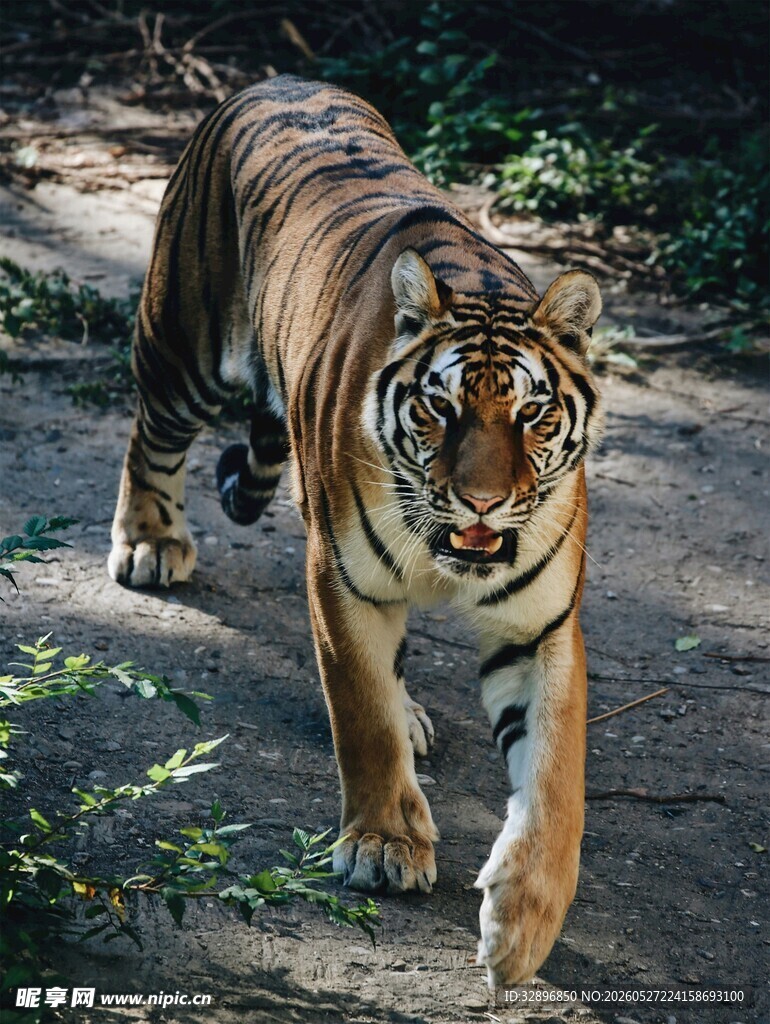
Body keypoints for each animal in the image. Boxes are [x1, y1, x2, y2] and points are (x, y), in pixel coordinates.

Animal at [108, 75, 603, 987]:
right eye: (441, 408)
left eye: (532, 414)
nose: (481, 502)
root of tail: (274, 80)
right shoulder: (343, 579)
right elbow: (361, 714)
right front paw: (383, 845)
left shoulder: (541, 624)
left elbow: (555, 778)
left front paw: (522, 924)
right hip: (180, 344)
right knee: (150, 434)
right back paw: (150, 541)